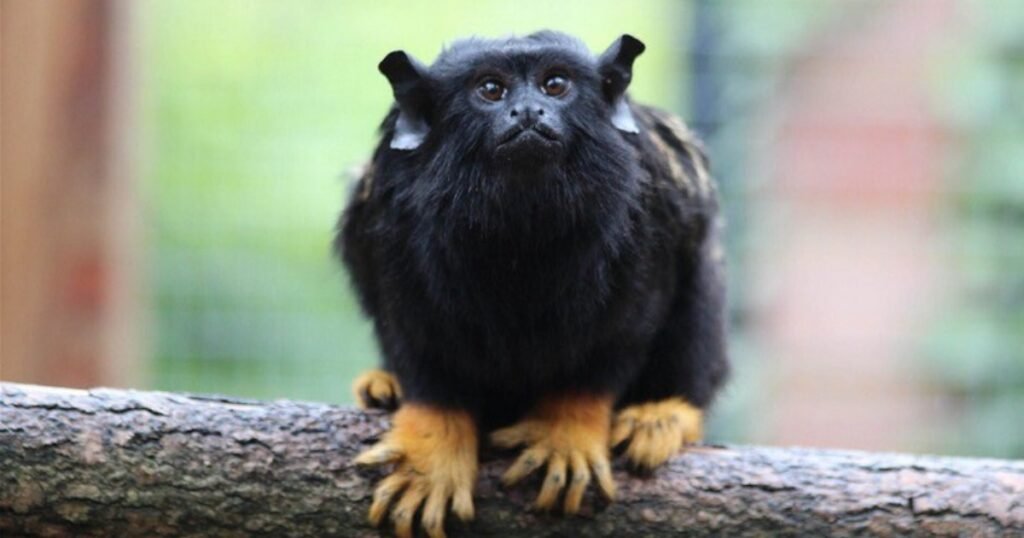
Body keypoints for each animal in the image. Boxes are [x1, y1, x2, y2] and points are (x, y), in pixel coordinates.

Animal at [337, 31, 729, 538]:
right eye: (491, 89)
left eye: (554, 85)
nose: (527, 111)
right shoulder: (388, 197)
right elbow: (414, 337)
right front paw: (432, 447)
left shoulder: (653, 189)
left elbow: (621, 333)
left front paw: (568, 430)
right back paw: (384, 385)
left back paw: (664, 413)